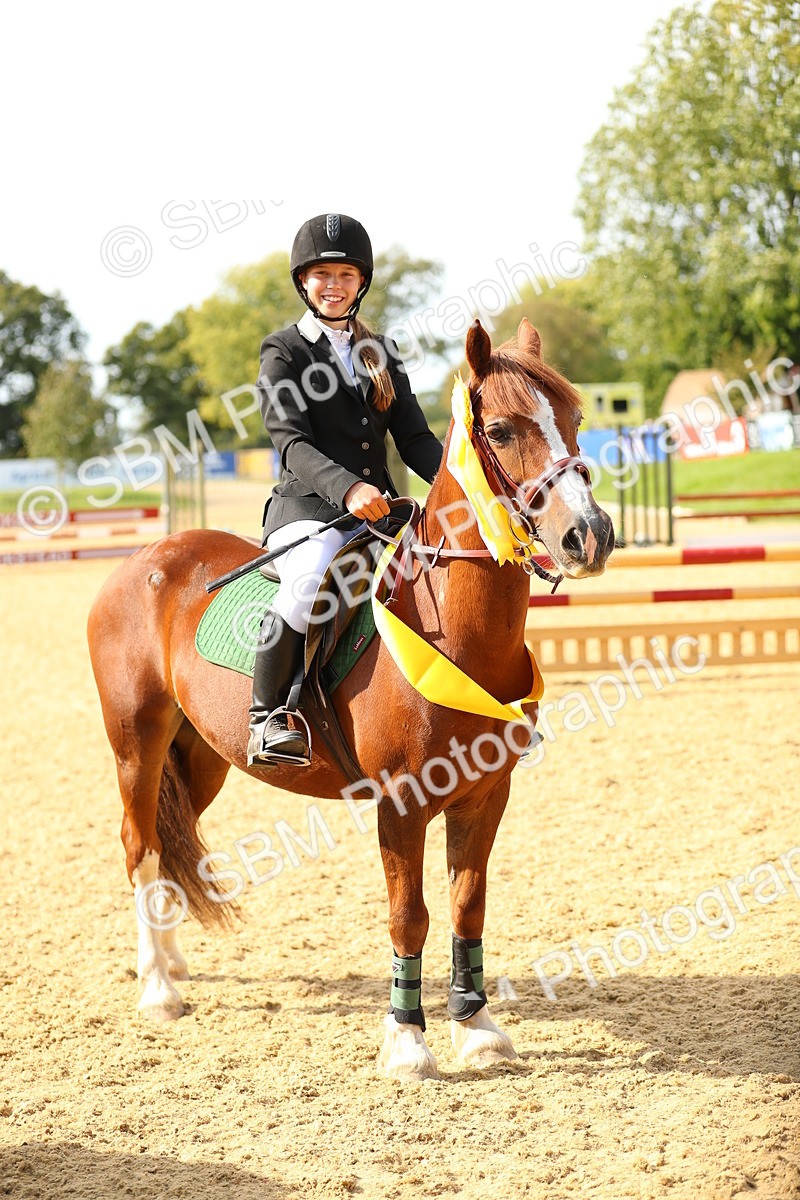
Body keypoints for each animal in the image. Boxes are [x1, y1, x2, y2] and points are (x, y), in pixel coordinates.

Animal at [87, 317, 614, 1081]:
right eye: (503, 430)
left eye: (575, 419)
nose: (589, 536)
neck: (455, 627)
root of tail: (145, 559)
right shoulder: (402, 802)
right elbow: (409, 914)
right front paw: (409, 1041)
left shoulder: (486, 795)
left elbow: (468, 906)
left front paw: (478, 1027)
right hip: (137, 742)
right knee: (139, 846)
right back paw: (157, 987)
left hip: (202, 756)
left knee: (166, 838)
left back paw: (172, 960)